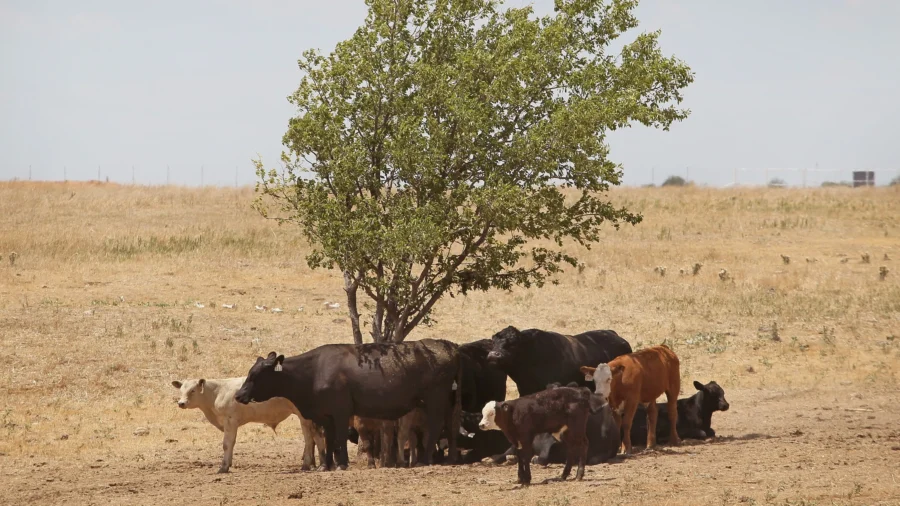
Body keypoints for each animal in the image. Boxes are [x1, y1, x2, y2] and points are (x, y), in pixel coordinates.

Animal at [171, 377, 325, 473]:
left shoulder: (230, 421)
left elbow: (227, 444)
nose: (181, 403)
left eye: (193, 390)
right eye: (181, 390)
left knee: (311, 438)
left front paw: (223, 467)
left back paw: (311, 465)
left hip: (304, 417)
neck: (217, 392)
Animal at [234, 339, 462, 470]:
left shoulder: (341, 412)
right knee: (450, 426)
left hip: (435, 398)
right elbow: (328, 439)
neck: (313, 372)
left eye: (256, 375)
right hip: (447, 400)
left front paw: (341, 464)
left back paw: (425, 459)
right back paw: (450, 458)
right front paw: (325, 466)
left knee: (436, 425)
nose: (238, 395)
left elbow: (339, 439)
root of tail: (449, 346)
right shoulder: (325, 416)